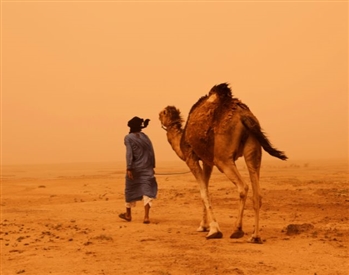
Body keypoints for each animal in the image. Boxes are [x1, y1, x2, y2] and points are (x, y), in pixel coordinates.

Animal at [158, 82, 286, 244]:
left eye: (162, 113)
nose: (157, 116)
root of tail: (244, 115)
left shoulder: (190, 157)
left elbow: (203, 192)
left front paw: (214, 230)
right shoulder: (207, 161)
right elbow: (205, 188)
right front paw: (203, 226)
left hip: (222, 157)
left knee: (243, 186)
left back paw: (237, 230)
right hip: (253, 148)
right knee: (257, 192)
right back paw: (255, 236)